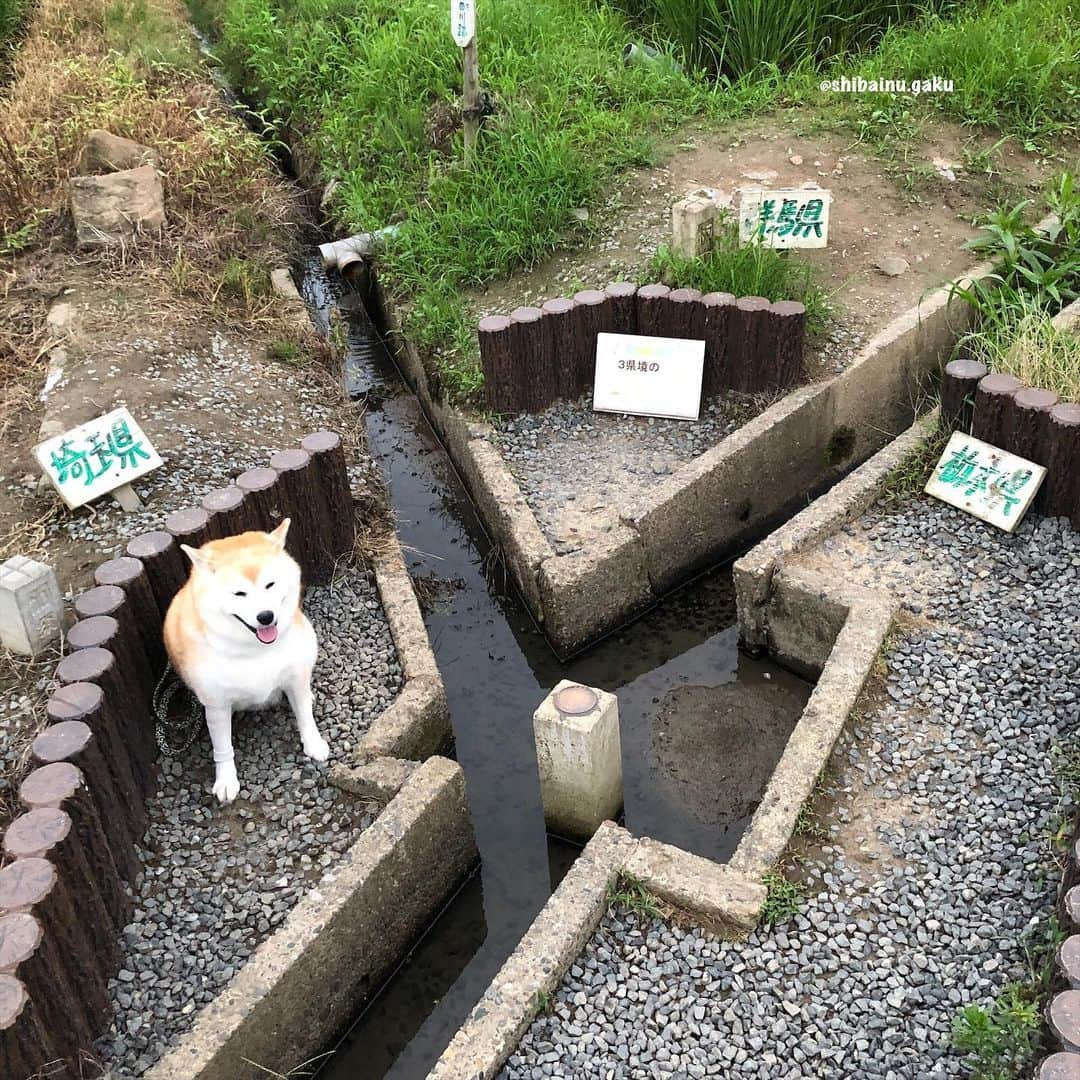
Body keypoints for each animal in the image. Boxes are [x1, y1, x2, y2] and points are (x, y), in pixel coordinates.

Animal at [162, 518, 326, 807]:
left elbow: (305, 716)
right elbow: (222, 747)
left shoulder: (295, 675)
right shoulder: (216, 705)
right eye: (239, 594)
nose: (266, 616)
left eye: (270, 585)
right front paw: (226, 780)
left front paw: (314, 743)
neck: (254, 651)